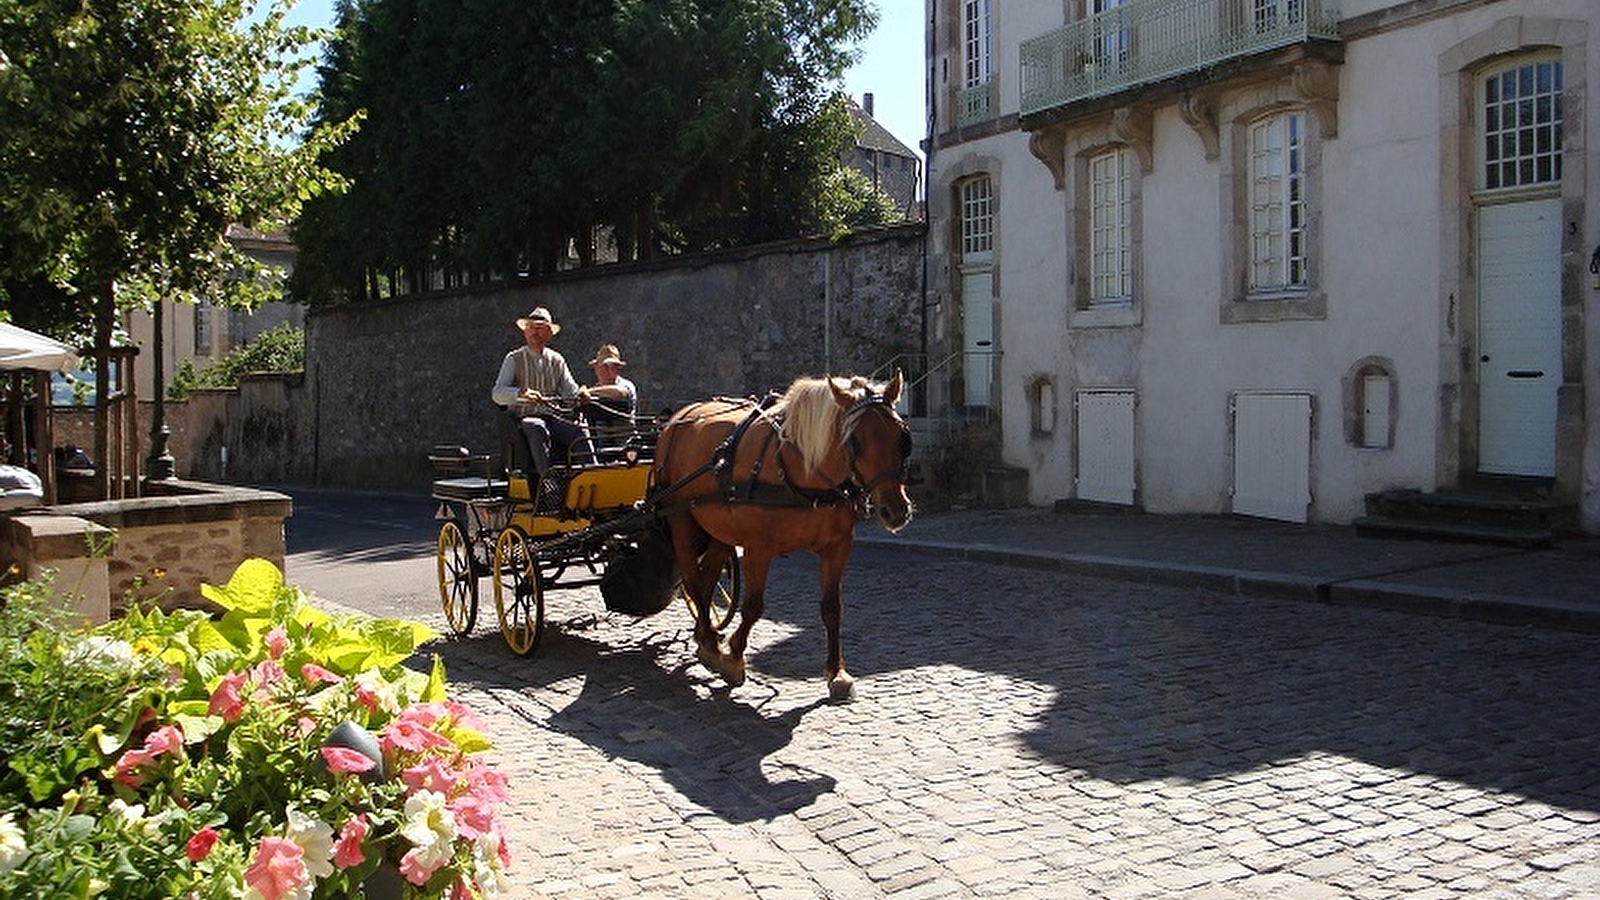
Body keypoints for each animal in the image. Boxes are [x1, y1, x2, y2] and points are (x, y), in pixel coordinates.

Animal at [649, 368, 915, 698]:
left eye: (902, 437)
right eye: (854, 441)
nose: (896, 510)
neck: (800, 472)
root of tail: (677, 418)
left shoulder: (837, 547)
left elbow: (832, 608)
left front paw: (836, 673)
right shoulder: (757, 549)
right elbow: (753, 607)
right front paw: (734, 658)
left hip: (719, 528)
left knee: (708, 576)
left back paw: (705, 638)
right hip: (682, 518)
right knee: (693, 581)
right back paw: (711, 643)